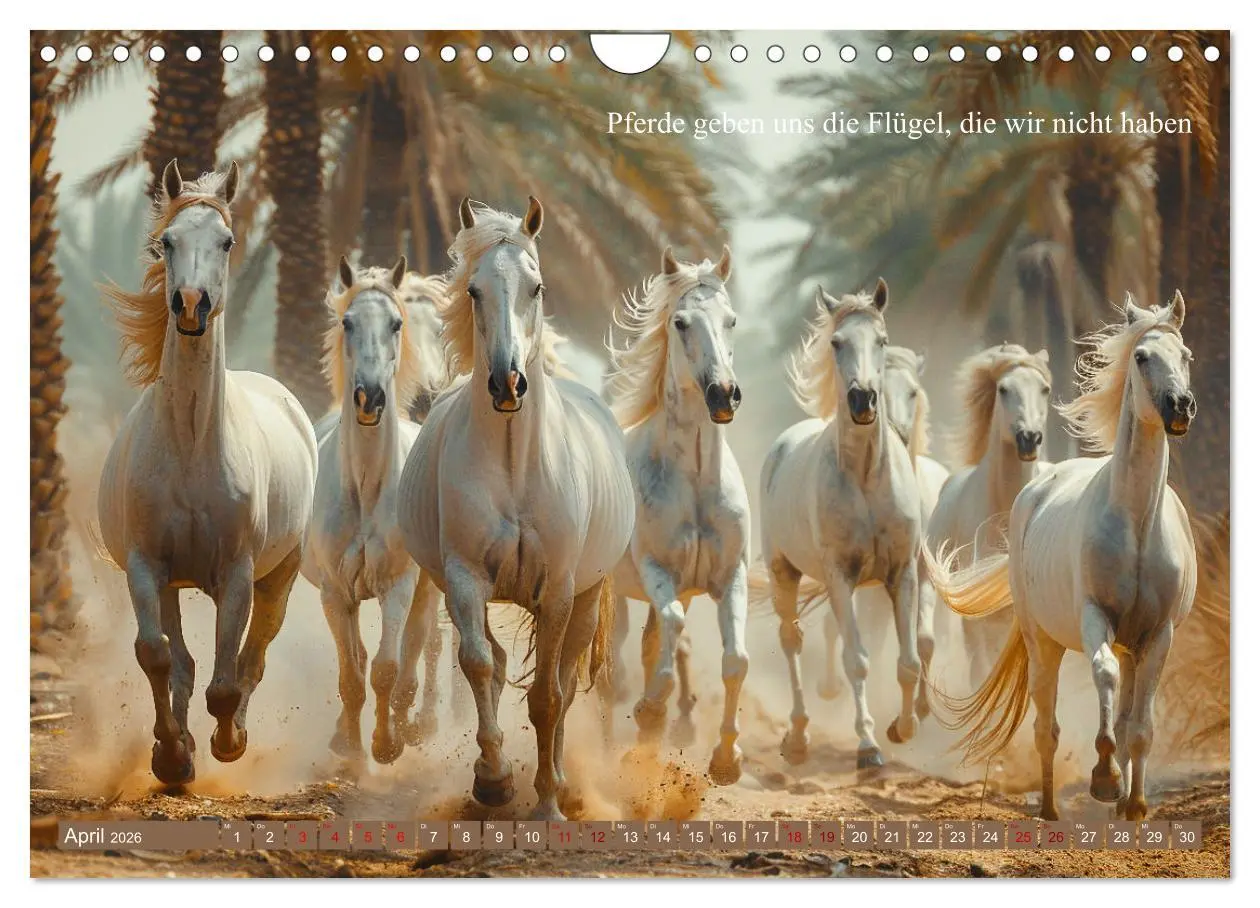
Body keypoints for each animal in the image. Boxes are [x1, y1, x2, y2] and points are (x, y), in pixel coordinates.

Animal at [97, 161, 317, 784]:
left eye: (227, 241)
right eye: (167, 242)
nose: (190, 305)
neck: (194, 447)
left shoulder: (237, 575)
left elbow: (227, 676)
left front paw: (227, 743)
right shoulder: (146, 567)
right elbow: (158, 657)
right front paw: (172, 755)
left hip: (280, 574)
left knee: (253, 656)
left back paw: (234, 734)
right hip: (172, 584)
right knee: (184, 660)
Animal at [300, 256, 443, 767]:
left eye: (395, 324)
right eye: (347, 322)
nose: (370, 398)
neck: (365, 490)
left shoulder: (397, 585)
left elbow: (385, 668)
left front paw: (385, 745)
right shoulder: (334, 593)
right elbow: (352, 676)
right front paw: (351, 751)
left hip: (427, 588)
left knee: (422, 646)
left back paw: (412, 723)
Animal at [397, 197, 635, 820]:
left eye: (537, 287)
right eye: (474, 290)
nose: (508, 383)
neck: (514, 465)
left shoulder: (557, 592)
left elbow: (549, 696)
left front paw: (547, 803)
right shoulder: (463, 579)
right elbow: (481, 666)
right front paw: (494, 781)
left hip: (586, 598)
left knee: (568, 684)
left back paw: (565, 786)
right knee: (499, 664)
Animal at [604, 245, 750, 785]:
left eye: (731, 319)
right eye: (681, 322)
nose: (723, 394)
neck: (695, 482)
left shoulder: (731, 576)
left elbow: (735, 660)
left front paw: (727, 759)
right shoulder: (656, 571)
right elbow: (669, 634)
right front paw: (649, 713)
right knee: (607, 666)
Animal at [756, 281, 922, 770]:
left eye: (882, 340)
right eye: (836, 342)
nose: (863, 399)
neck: (865, 478)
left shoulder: (902, 573)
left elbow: (910, 662)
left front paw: (902, 728)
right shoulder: (840, 578)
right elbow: (857, 660)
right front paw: (868, 746)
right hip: (783, 573)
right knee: (791, 642)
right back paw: (796, 738)